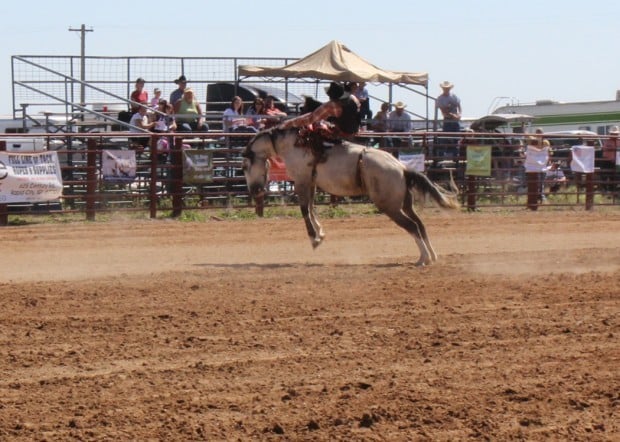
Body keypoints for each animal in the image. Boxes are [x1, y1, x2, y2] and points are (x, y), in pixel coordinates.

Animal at [242, 128, 460, 266]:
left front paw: (315, 239)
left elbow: (305, 210)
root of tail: (402, 168)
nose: (254, 190)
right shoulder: (311, 183)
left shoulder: (302, 181)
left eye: (244, 166)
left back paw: (423, 258)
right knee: (420, 225)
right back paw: (432, 256)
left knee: (413, 226)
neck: (294, 144)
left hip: (390, 207)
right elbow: (311, 208)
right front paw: (320, 234)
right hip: (405, 205)